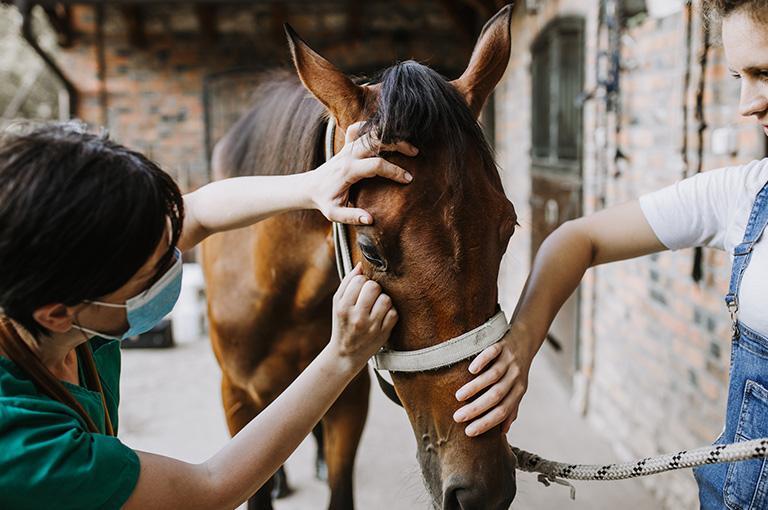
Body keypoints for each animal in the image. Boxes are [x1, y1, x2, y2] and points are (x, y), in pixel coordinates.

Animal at [202, 4, 516, 510]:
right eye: (371, 249)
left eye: (508, 227)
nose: (482, 491)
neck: (281, 287)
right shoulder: (235, 398)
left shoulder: (349, 395)